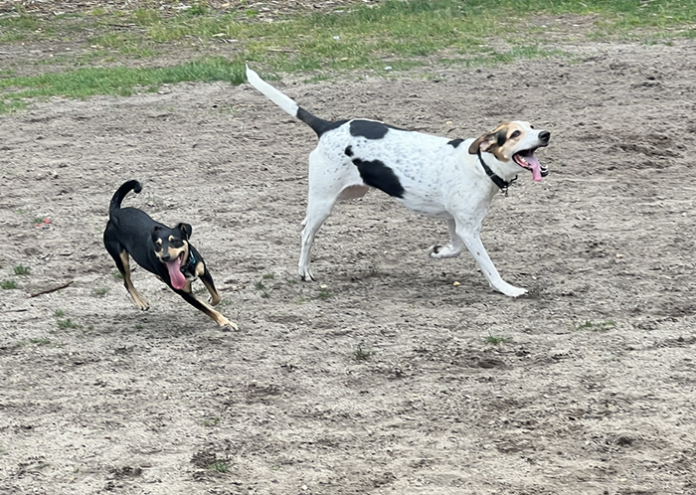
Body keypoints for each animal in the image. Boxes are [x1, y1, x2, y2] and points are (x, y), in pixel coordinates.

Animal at [101, 180, 237, 332]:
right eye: (158, 244)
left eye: (175, 241)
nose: (165, 257)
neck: (185, 267)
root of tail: (115, 212)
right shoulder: (184, 293)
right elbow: (208, 309)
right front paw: (226, 323)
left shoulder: (203, 271)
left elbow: (216, 296)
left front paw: (212, 301)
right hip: (120, 257)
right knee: (127, 282)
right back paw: (140, 301)